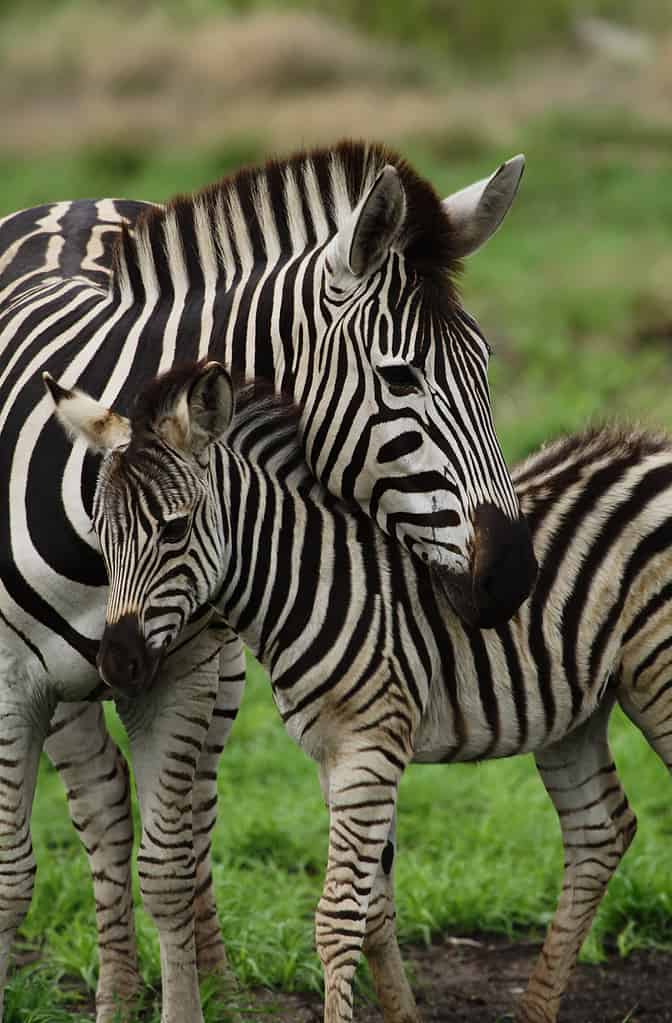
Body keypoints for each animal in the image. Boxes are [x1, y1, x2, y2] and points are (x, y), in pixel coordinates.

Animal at [0, 140, 535, 1018]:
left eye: (487, 365)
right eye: (399, 378)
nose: (514, 576)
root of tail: (73, 202)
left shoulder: (179, 670)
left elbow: (167, 864)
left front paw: (190, 998)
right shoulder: (14, 683)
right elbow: (14, 874)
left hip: (214, 668)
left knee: (178, 819)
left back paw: (200, 982)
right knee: (100, 804)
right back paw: (115, 990)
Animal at [47, 358, 670, 1023]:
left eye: (175, 530)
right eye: (99, 533)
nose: (118, 663)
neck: (310, 583)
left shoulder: (369, 749)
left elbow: (338, 917)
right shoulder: (336, 755)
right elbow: (374, 910)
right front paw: (402, 1014)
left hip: (656, 680)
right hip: (573, 713)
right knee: (599, 830)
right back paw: (534, 1009)